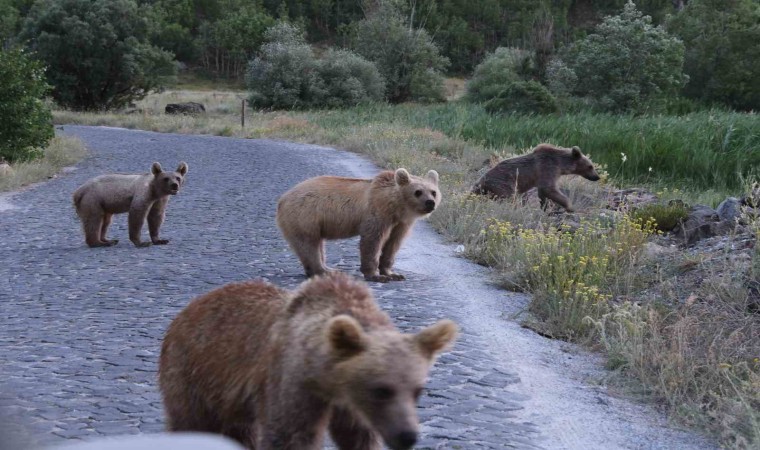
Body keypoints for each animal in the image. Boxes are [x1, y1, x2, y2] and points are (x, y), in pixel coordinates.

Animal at [158, 270, 458, 450]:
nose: (408, 436)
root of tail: (186, 310)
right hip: (192, 373)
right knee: (191, 421)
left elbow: (358, 437)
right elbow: (289, 435)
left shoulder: (350, 409)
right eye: (381, 390)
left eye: (419, 390)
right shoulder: (290, 382)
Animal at [274, 168, 440, 282]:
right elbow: (372, 241)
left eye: (433, 192)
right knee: (309, 244)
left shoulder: (401, 223)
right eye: (418, 192)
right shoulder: (378, 214)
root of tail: (282, 199)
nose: (430, 203)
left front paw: (393, 273)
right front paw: (376, 275)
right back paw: (325, 270)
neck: (395, 206)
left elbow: (393, 244)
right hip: (304, 216)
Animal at [470, 145, 600, 214]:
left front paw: (544, 207)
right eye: (590, 166)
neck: (560, 165)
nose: (597, 177)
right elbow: (549, 189)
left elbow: (543, 192)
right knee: (510, 198)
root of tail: (480, 182)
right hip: (503, 184)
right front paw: (570, 206)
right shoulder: (547, 168)